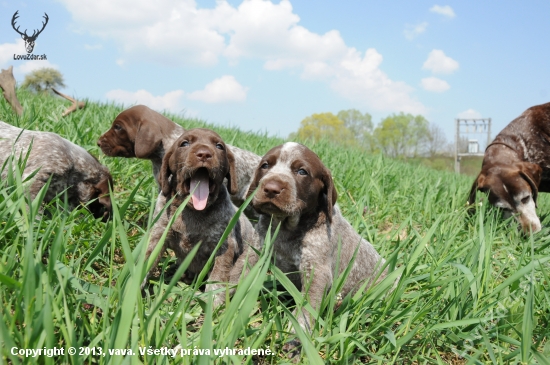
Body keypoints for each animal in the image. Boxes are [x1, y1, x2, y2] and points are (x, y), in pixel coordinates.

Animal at [142, 128, 258, 304]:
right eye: (184, 143)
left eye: (219, 146)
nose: (204, 154)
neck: (193, 211)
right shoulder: (158, 233)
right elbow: (146, 260)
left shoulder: (224, 247)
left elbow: (217, 279)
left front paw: (212, 304)